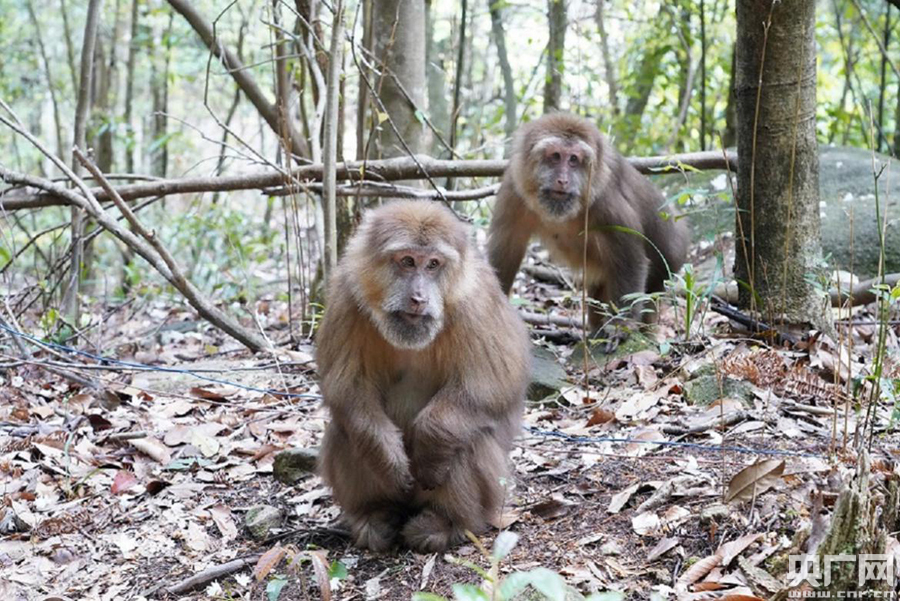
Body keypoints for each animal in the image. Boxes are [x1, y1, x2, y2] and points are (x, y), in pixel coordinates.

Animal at [314, 202, 532, 552]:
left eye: (433, 265)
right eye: (407, 261)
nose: (418, 297)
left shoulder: (476, 302)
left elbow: (494, 383)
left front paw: (430, 441)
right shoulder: (346, 296)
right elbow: (347, 389)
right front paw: (387, 459)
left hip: (485, 496)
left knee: (468, 437)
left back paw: (446, 523)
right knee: (346, 430)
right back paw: (375, 514)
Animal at [486, 113, 688, 346]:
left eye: (574, 159)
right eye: (555, 156)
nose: (563, 180)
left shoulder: (606, 200)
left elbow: (631, 260)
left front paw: (621, 326)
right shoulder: (513, 189)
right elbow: (505, 252)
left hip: (671, 258)